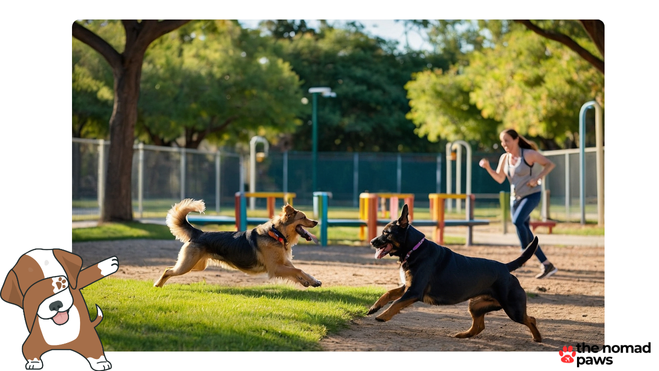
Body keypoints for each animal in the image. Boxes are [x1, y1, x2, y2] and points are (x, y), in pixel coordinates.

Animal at [153, 199, 320, 290]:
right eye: (304, 217)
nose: (317, 222)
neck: (277, 233)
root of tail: (198, 233)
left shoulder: (285, 263)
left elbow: (301, 271)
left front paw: (311, 281)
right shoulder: (276, 268)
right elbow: (298, 270)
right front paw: (308, 281)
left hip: (196, 265)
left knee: (170, 269)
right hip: (186, 265)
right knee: (168, 270)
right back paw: (157, 285)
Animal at [368, 205, 544, 344]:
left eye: (386, 232)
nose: (371, 241)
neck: (414, 249)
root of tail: (506, 267)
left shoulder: (414, 291)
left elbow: (396, 303)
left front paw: (383, 316)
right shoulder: (407, 287)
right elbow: (388, 294)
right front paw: (374, 307)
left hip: (513, 308)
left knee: (530, 319)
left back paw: (537, 338)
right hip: (476, 305)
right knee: (479, 326)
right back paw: (462, 335)